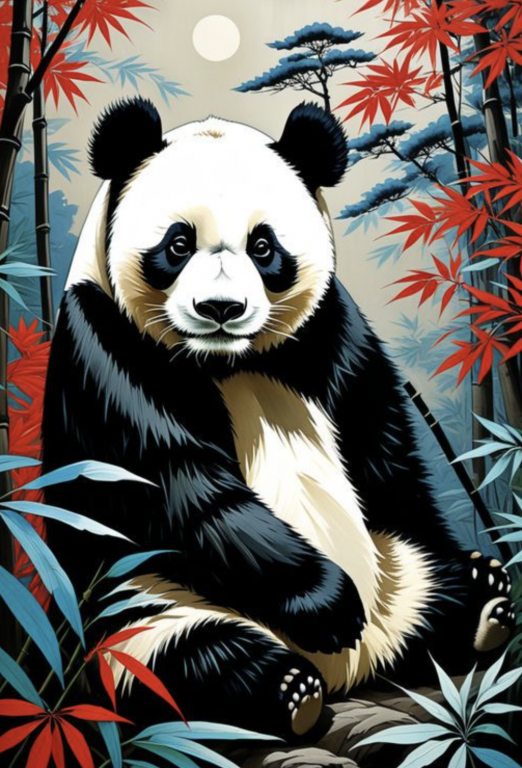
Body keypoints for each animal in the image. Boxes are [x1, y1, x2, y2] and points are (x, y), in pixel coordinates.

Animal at [42, 97, 516, 740]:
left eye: (263, 246)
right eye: (178, 244)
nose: (220, 308)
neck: (228, 361)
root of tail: (355, 671)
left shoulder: (331, 331)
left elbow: (383, 447)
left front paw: (467, 562)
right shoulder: (104, 346)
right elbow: (176, 483)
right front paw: (329, 605)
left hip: (393, 567)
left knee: (430, 587)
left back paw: (483, 598)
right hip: (141, 606)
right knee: (185, 660)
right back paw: (290, 691)